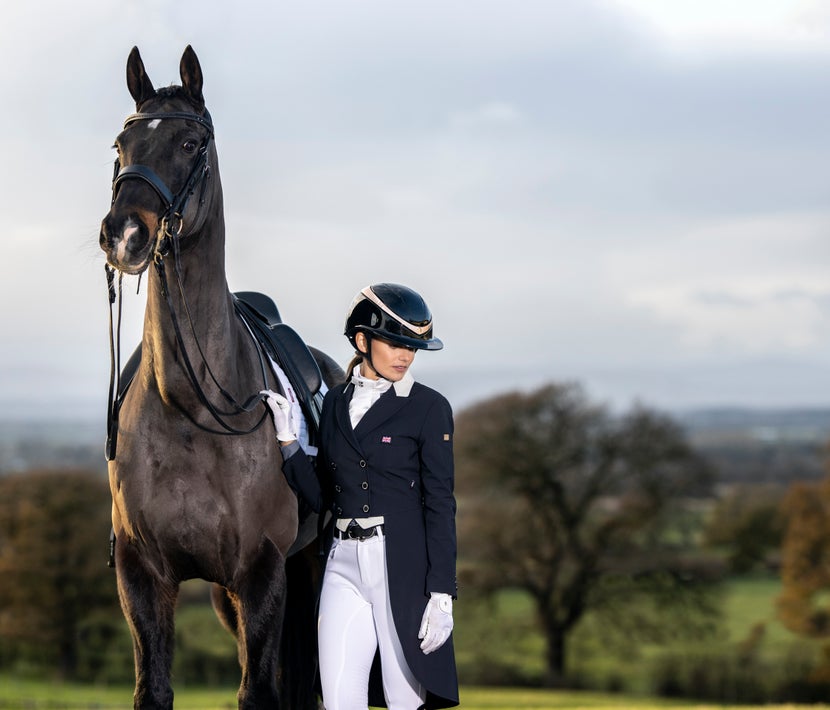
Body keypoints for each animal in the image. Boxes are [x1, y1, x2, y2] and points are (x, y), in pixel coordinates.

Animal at [99, 47, 342, 708]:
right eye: (121, 145)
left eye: (189, 143)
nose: (124, 234)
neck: (190, 407)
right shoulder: (143, 576)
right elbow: (152, 689)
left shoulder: (262, 572)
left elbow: (259, 692)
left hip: (309, 572)